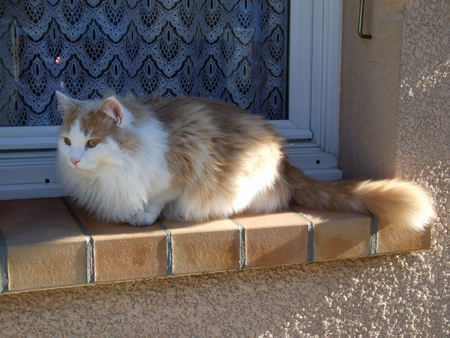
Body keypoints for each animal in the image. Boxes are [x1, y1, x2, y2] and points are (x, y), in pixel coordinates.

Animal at [54, 91, 434, 231]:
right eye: (68, 141)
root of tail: (284, 155)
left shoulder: (184, 162)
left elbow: (160, 197)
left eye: (92, 142)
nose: (73, 160)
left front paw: (144, 216)